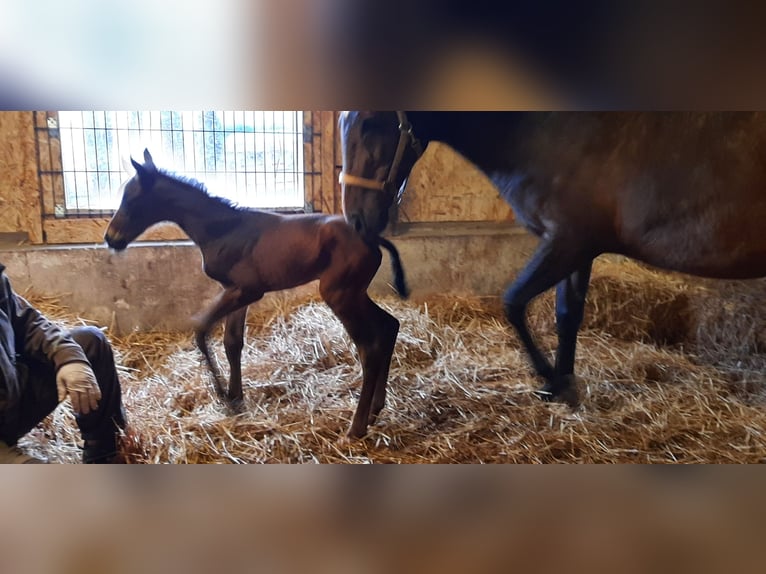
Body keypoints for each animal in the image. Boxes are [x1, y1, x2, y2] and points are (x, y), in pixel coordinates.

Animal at [106, 151, 408, 438]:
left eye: (131, 199)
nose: (111, 238)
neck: (224, 229)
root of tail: (371, 238)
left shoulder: (247, 290)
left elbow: (201, 330)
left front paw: (223, 396)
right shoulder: (235, 292)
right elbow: (232, 342)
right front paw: (236, 398)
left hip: (340, 295)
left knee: (369, 347)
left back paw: (357, 427)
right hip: (353, 293)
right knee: (389, 325)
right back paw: (376, 409)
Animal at [342, 112, 766, 408]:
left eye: (371, 123)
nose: (356, 219)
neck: (550, 135)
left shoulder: (567, 241)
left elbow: (513, 302)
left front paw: (553, 379)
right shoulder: (578, 248)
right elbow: (567, 314)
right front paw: (563, 383)